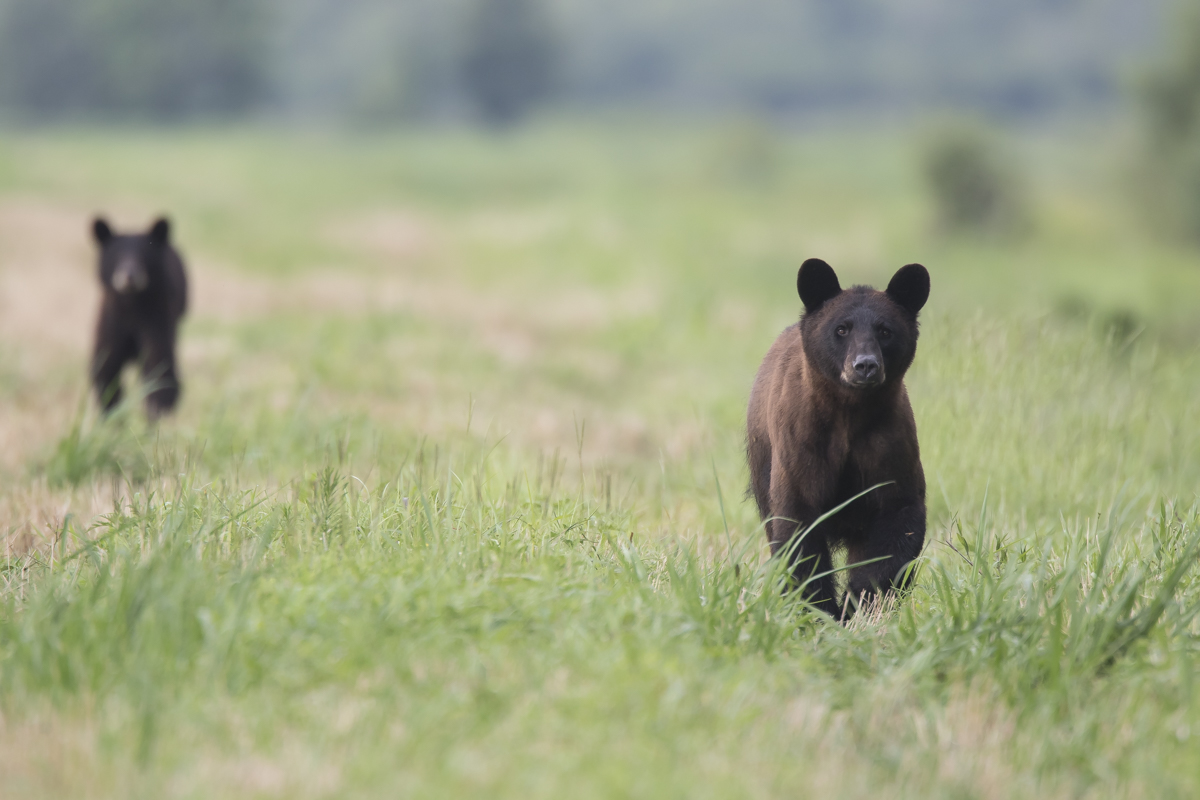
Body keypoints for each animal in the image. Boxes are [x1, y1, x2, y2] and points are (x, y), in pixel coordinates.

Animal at [90, 216, 188, 419]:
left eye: (144, 255)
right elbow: (105, 366)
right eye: (116, 255)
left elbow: (160, 367)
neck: (131, 306)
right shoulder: (112, 321)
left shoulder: (156, 318)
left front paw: (156, 413)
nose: (129, 276)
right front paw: (112, 417)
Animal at [746, 258, 929, 620]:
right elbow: (798, 524)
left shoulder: (889, 445)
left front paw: (860, 603)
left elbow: (899, 516)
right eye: (841, 329)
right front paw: (818, 609)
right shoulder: (802, 444)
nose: (866, 366)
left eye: (885, 330)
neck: (849, 414)